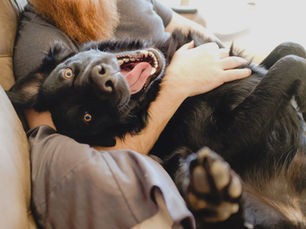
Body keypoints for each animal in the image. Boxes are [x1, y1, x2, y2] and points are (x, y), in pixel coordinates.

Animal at [7, 30, 306, 229]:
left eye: (67, 73)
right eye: (88, 116)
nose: (105, 82)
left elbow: (289, 46)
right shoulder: (223, 141)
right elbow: (291, 62)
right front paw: (298, 108)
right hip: (186, 161)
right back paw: (214, 195)